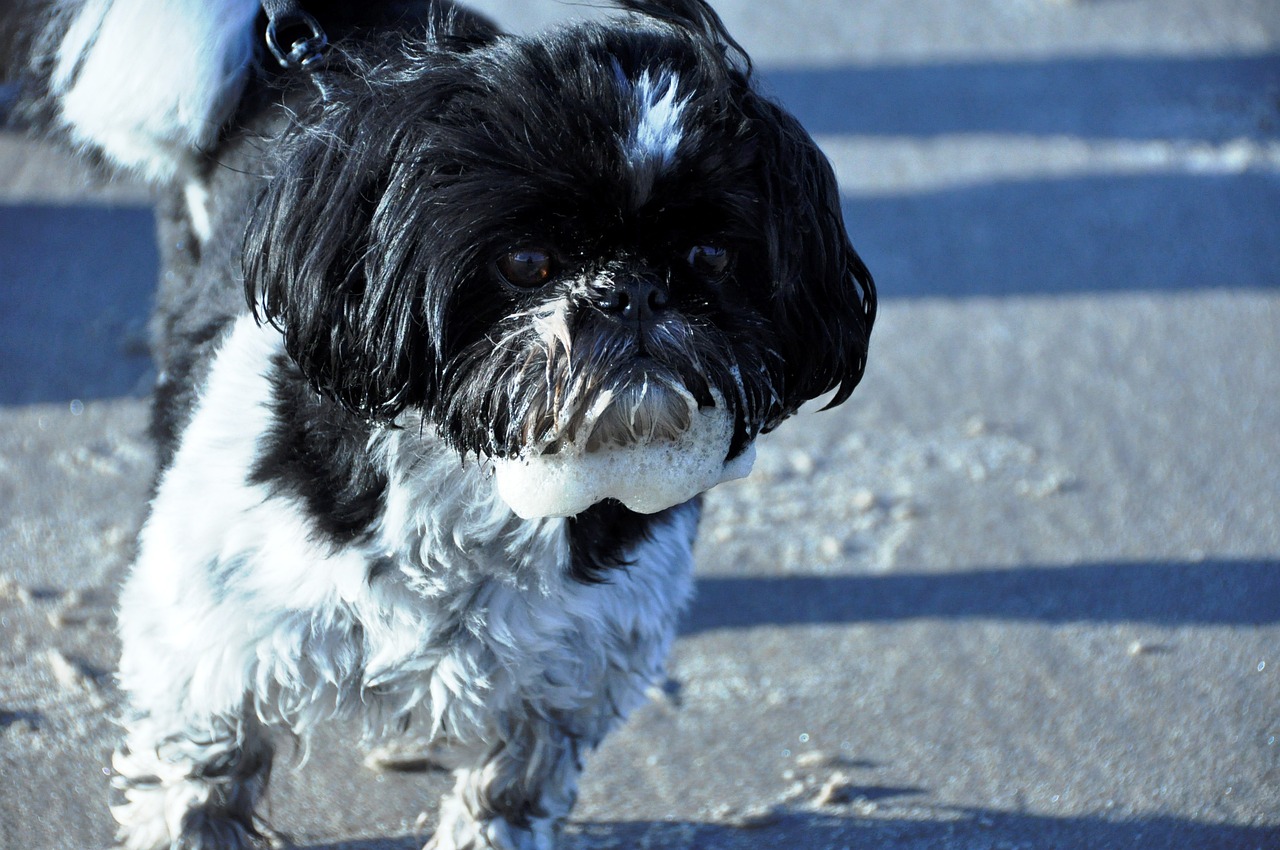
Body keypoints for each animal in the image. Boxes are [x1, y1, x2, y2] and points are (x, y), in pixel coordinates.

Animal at [24, 0, 875, 844]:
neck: (478, 478)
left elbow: (509, 786)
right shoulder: (210, 633)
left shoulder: (569, 677)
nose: (632, 290)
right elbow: (200, 769)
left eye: (709, 257)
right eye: (527, 262)